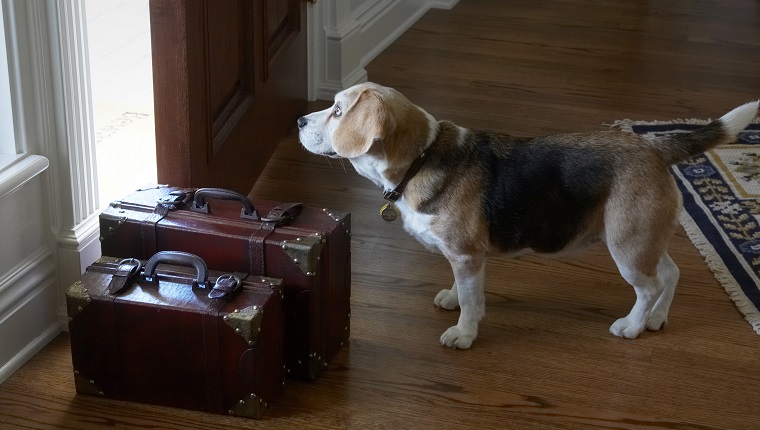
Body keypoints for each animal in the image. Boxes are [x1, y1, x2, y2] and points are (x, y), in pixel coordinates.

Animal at [298, 81, 760, 350]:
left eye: (337, 112)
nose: (300, 120)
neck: (422, 157)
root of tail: (655, 147)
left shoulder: (466, 254)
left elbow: (472, 301)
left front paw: (464, 334)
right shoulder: (466, 257)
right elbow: (465, 289)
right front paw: (455, 300)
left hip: (627, 246)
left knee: (649, 288)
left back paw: (632, 325)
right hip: (644, 238)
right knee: (670, 274)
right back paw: (657, 320)